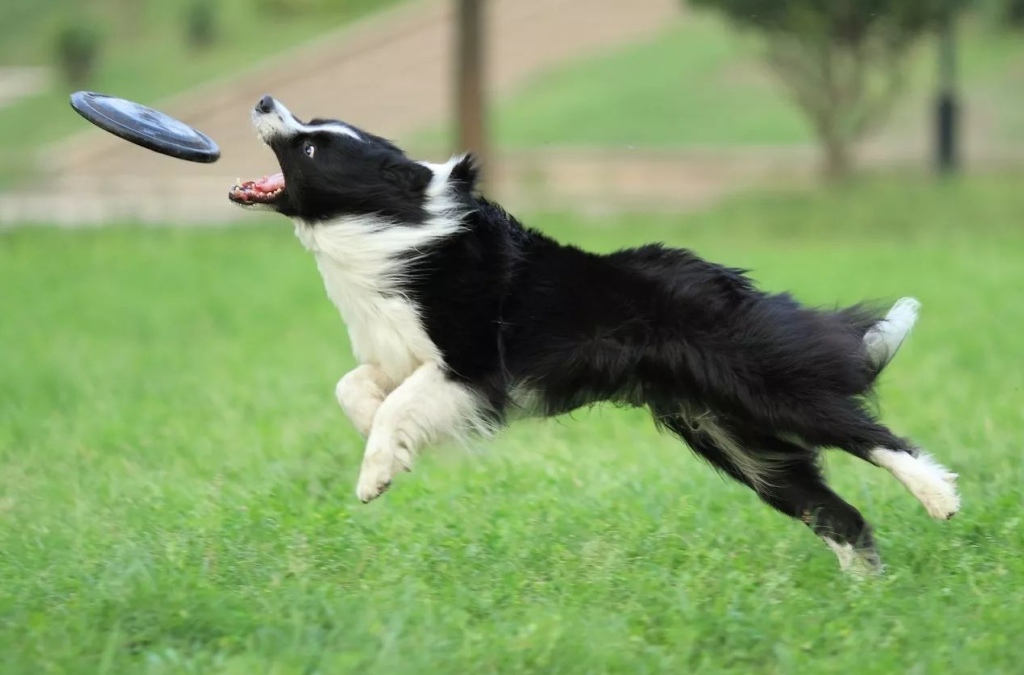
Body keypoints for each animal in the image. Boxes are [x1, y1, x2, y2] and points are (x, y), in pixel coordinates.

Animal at [230, 93, 958, 569]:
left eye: (313, 145)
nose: (264, 98)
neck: (388, 230)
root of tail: (730, 282)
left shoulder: (471, 368)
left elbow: (398, 404)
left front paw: (376, 473)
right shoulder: (402, 354)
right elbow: (354, 387)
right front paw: (380, 441)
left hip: (761, 388)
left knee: (869, 433)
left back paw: (938, 497)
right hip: (732, 437)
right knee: (836, 512)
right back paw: (864, 598)